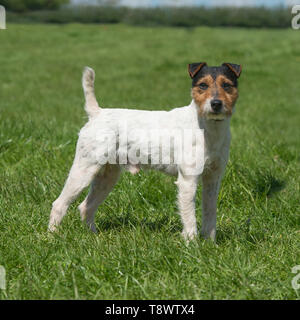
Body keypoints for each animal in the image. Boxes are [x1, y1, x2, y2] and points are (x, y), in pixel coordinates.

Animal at [48, 63, 241, 242]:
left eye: (227, 85)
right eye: (202, 85)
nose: (216, 104)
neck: (208, 128)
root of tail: (97, 113)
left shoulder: (213, 179)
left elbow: (210, 213)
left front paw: (210, 243)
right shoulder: (188, 179)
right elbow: (189, 217)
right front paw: (192, 244)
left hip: (107, 177)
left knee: (86, 206)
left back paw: (93, 236)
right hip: (84, 170)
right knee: (59, 204)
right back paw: (52, 237)